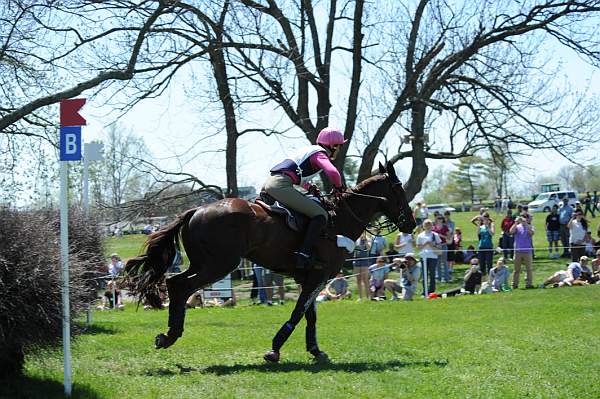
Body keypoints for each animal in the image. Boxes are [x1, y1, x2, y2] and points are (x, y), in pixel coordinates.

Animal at [125, 162, 418, 362]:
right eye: (399, 190)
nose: (411, 223)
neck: (340, 220)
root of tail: (196, 210)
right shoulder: (318, 277)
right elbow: (298, 313)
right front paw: (275, 349)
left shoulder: (309, 277)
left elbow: (310, 316)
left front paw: (315, 350)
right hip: (220, 265)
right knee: (180, 287)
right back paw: (170, 336)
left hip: (203, 263)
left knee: (175, 283)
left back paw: (168, 335)